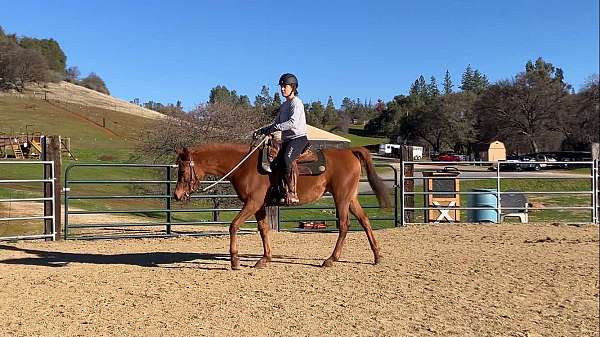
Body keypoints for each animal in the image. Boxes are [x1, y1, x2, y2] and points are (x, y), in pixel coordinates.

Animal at [172, 143, 390, 270]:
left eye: (182, 171)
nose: (177, 195)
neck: (244, 166)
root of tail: (350, 152)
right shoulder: (259, 205)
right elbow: (263, 229)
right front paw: (265, 258)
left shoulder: (252, 203)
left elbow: (233, 226)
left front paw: (234, 260)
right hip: (351, 198)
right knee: (365, 221)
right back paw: (377, 256)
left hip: (342, 197)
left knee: (344, 226)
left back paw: (331, 259)